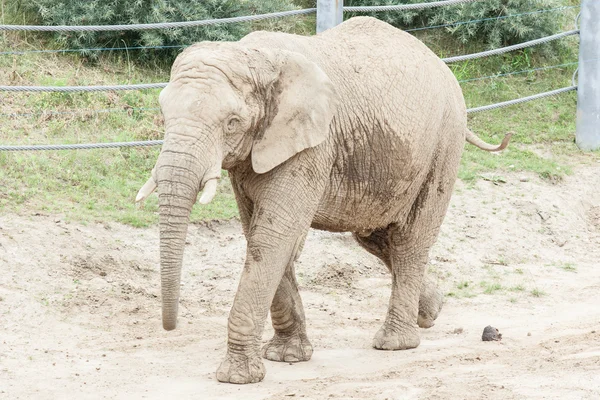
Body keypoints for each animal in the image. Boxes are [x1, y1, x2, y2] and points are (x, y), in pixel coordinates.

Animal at [136, 16, 510, 384]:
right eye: (164, 115)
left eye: (232, 122)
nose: (170, 327)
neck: (255, 57)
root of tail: (441, 64)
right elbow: (261, 233)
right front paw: (287, 356)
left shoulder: (313, 145)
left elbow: (272, 237)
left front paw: (236, 377)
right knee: (376, 238)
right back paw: (431, 311)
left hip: (444, 143)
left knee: (409, 241)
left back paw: (395, 342)